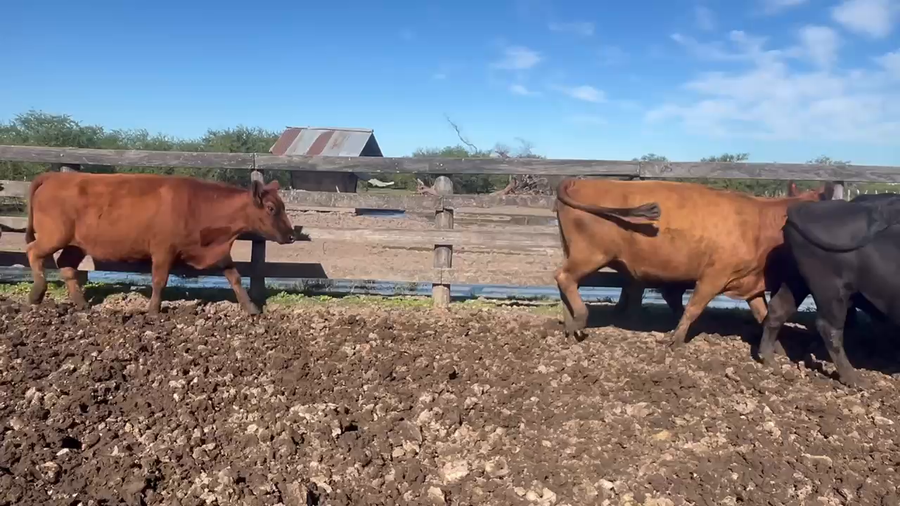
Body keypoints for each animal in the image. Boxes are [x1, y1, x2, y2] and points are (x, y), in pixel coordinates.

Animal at [24, 172, 295, 315]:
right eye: (271, 208)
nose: (291, 236)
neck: (197, 205)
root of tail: (55, 176)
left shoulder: (219, 253)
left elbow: (235, 277)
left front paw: (251, 307)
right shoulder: (163, 251)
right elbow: (159, 280)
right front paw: (153, 309)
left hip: (75, 244)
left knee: (66, 266)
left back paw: (81, 303)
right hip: (54, 236)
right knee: (33, 252)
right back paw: (37, 292)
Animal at [553, 178, 833, 345]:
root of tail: (579, 180)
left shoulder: (750, 281)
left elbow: (763, 315)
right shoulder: (714, 274)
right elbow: (694, 307)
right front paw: (675, 339)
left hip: (576, 252)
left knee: (567, 284)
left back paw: (571, 325)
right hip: (590, 254)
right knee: (563, 277)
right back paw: (581, 316)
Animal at [758, 192, 900, 387]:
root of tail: (801, 209)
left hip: (796, 281)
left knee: (777, 309)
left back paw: (769, 359)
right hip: (831, 289)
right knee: (830, 327)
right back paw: (854, 379)